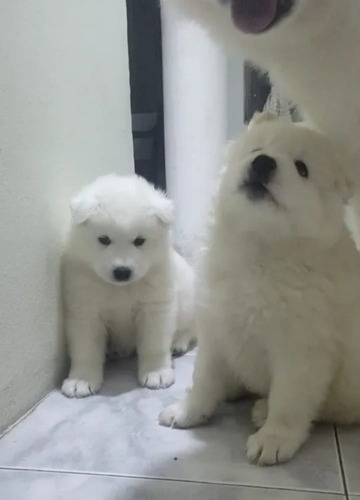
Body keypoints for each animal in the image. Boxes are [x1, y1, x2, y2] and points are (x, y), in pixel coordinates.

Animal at [63, 175, 195, 398]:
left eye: (139, 240)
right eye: (104, 239)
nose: (122, 271)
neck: (121, 288)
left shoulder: (155, 307)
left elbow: (154, 344)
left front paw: (157, 373)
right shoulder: (85, 309)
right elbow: (85, 349)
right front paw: (80, 380)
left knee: (192, 328)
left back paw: (178, 343)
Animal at [160, 113, 360, 464]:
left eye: (302, 168)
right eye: (256, 149)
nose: (263, 163)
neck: (260, 252)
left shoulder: (300, 348)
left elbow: (288, 400)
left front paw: (273, 439)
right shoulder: (216, 327)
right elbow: (203, 380)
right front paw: (187, 411)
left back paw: (261, 409)